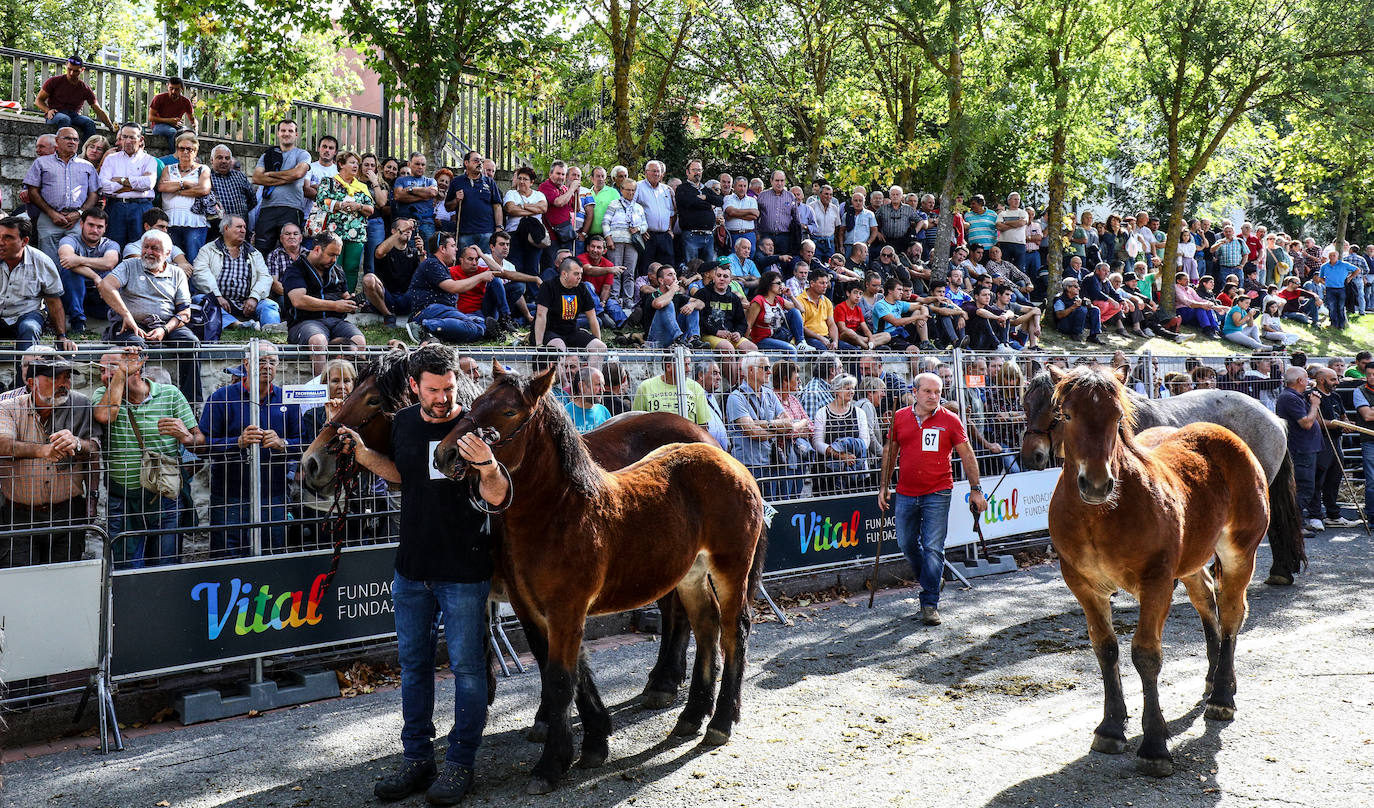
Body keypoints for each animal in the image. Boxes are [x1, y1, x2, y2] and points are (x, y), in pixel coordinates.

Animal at [434, 360, 769, 797]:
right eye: (473, 405)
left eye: (508, 411)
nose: (444, 454)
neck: (560, 512)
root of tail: (728, 459)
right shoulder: (537, 611)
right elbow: (572, 675)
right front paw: (592, 745)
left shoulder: (567, 611)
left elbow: (561, 680)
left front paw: (551, 765)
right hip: (691, 574)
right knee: (706, 624)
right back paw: (691, 715)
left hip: (731, 568)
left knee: (733, 630)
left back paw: (720, 721)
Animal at [1044, 365, 1269, 775]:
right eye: (1066, 415)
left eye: (1117, 418)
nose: (1097, 484)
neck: (1100, 515)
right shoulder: (1084, 586)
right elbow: (1106, 649)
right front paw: (1111, 727)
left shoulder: (1157, 583)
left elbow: (1146, 655)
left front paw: (1153, 744)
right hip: (1192, 560)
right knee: (1206, 600)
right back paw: (1213, 679)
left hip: (1240, 553)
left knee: (1231, 612)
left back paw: (1222, 695)